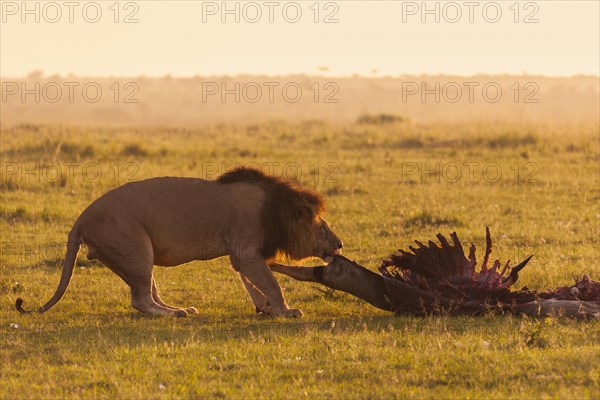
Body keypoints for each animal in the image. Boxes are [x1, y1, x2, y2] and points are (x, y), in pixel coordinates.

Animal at [15, 166, 342, 316]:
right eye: (323, 227)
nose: (339, 245)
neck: (276, 208)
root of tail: (81, 218)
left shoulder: (242, 256)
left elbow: (255, 285)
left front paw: (267, 309)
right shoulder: (246, 250)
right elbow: (271, 283)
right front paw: (287, 311)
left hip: (133, 256)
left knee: (149, 293)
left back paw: (177, 308)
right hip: (136, 247)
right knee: (141, 300)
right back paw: (174, 313)